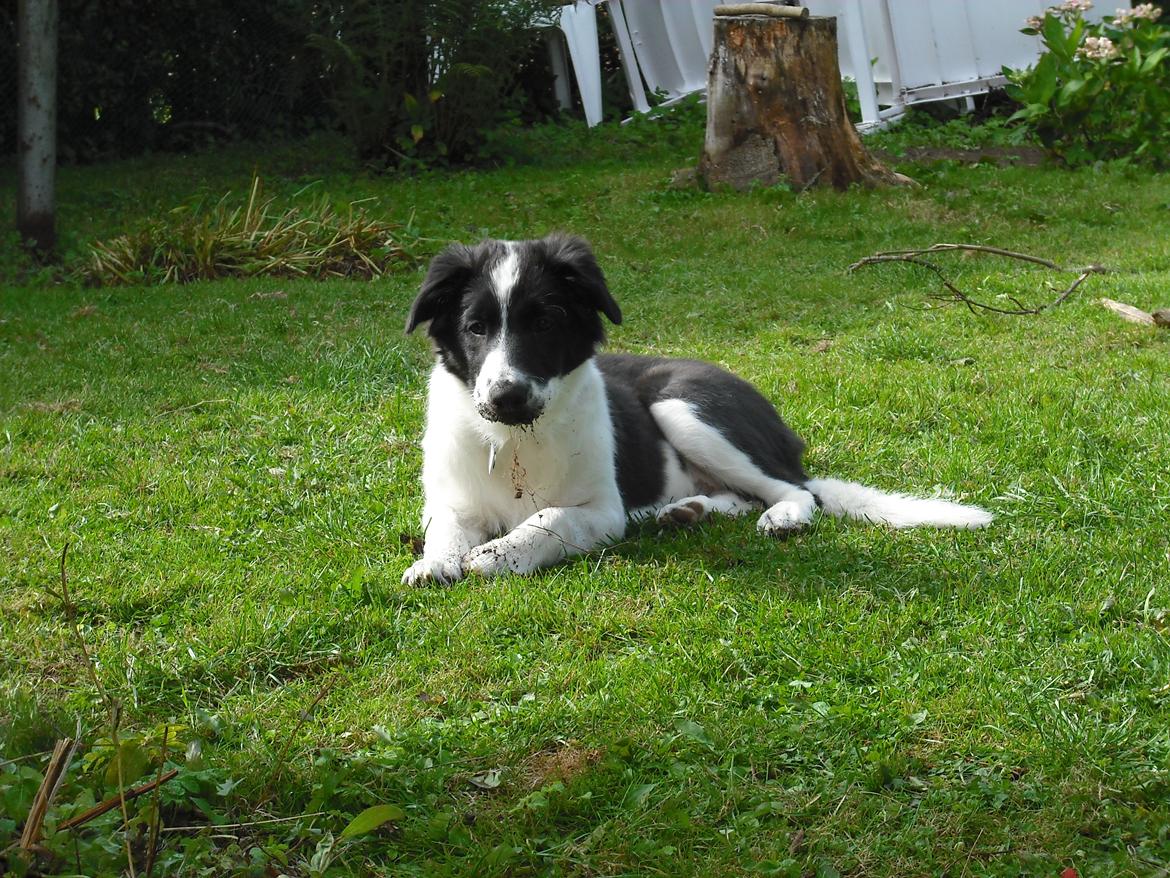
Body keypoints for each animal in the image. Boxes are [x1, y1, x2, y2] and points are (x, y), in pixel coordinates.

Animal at [400, 237, 987, 587]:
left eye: (544, 323)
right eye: (476, 328)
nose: (506, 397)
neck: (516, 441)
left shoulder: (602, 512)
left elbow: (549, 518)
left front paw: (497, 555)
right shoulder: (452, 499)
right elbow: (445, 526)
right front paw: (435, 562)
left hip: (680, 406)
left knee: (798, 491)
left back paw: (780, 516)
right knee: (744, 496)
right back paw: (688, 510)